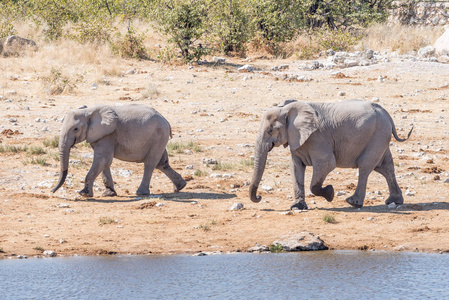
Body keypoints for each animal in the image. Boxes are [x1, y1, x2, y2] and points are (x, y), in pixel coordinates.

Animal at [50, 103, 186, 197]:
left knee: (150, 163)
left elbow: (102, 160)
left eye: (76, 129)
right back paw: (180, 187)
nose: (51, 191)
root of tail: (166, 121)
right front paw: (109, 194)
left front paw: (84, 193)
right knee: (162, 163)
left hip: (159, 136)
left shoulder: (108, 134)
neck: (88, 111)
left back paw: (141, 193)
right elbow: (104, 163)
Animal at [248, 99, 412, 210]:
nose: (259, 197)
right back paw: (395, 201)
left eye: (271, 130)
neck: (288, 109)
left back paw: (353, 202)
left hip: (378, 135)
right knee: (385, 167)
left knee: (365, 167)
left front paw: (330, 193)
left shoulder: (318, 138)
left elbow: (327, 164)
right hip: (381, 136)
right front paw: (297, 207)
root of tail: (386, 113)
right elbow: (295, 168)